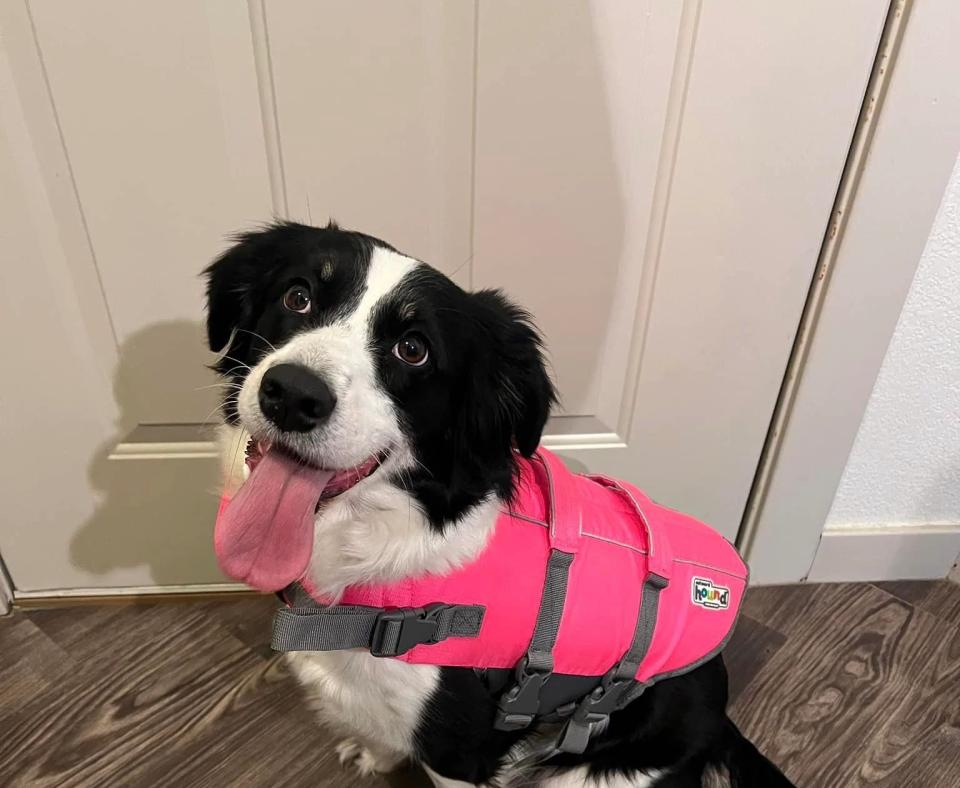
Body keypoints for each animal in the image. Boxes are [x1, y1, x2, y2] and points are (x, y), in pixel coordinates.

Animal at [204, 222, 796, 788]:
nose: (292, 395)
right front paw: (375, 753)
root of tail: (720, 720)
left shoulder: (461, 750)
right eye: (298, 296)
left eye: (413, 349)